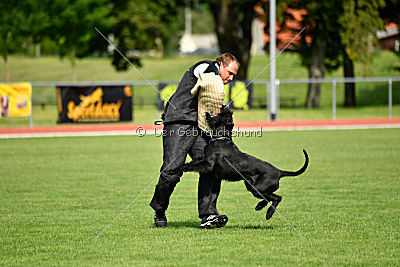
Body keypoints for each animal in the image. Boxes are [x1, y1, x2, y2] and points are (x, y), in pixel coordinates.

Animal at [181, 108, 310, 221]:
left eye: (224, 115)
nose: (224, 106)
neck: (221, 138)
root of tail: (278, 172)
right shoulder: (203, 160)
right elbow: (193, 163)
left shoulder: (208, 164)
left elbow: (192, 166)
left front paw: (179, 168)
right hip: (252, 186)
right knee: (271, 198)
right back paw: (260, 206)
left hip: (257, 189)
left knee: (277, 198)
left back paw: (268, 213)